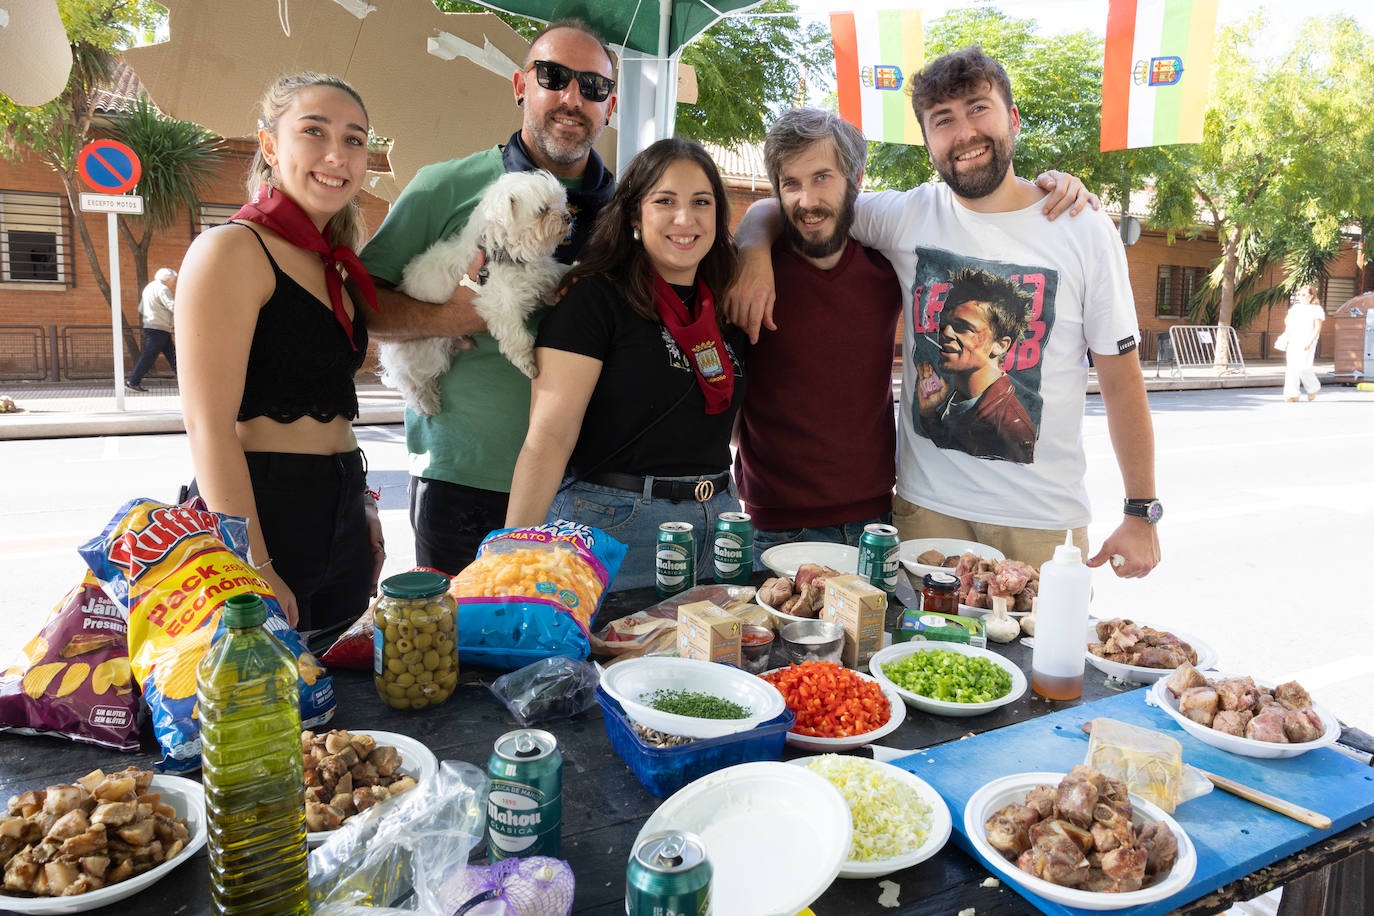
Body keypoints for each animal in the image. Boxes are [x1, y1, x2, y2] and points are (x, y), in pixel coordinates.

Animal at [376, 168, 568, 414]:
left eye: (561, 202)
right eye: (543, 209)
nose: (568, 217)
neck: (504, 253)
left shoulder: (541, 276)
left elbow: (555, 277)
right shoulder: (500, 304)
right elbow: (517, 338)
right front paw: (529, 364)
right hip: (426, 353)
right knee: (410, 380)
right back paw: (426, 402)